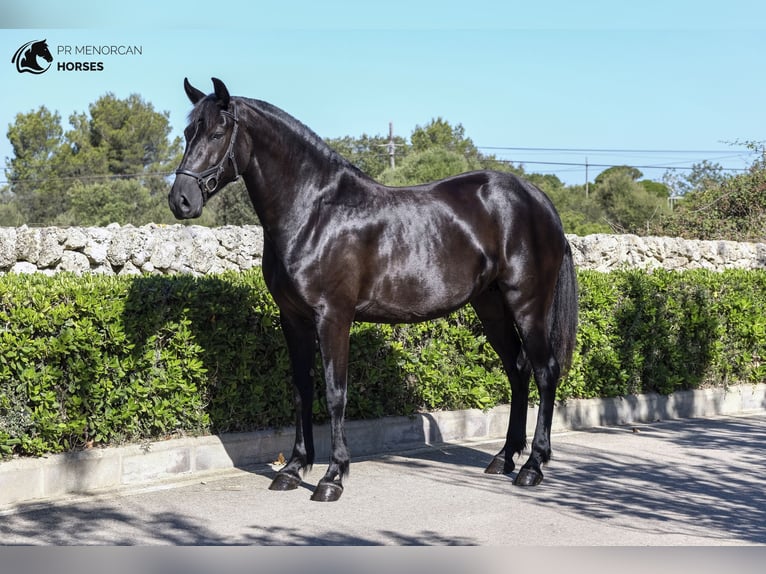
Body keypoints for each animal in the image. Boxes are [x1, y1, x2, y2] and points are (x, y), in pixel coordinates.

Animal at [169, 78, 578, 502]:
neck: (314, 212)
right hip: (491, 305)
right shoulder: (293, 319)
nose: (181, 200)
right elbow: (301, 390)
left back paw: (532, 467)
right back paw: (504, 458)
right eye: (187, 132)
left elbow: (335, 393)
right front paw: (293, 470)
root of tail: (539, 201)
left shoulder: (333, 316)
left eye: (217, 133)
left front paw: (332, 477)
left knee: (545, 371)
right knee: (517, 370)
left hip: (527, 304)